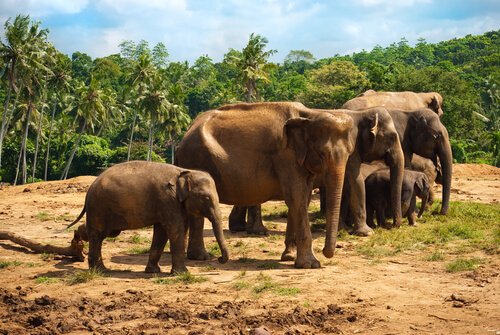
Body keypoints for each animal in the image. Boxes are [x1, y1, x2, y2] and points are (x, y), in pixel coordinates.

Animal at [67, 161, 229, 274]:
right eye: (206, 198)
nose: (219, 259)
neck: (184, 172)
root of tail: (89, 190)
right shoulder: (168, 201)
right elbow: (175, 230)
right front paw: (181, 273)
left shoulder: (167, 206)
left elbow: (161, 233)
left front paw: (153, 271)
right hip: (100, 208)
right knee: (98, 235)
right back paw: (100, 270)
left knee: (103, 233)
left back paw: (79, 237)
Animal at [176, 101, 356, 270]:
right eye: (322, 153)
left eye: (350, 153)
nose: (327, 252)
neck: (310, 114)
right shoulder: (285, 157)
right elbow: (296, 197)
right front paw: (310, 265)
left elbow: (302, 199)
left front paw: (289, 257)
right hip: (195, 159)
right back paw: (200, 257)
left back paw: (199, 257)